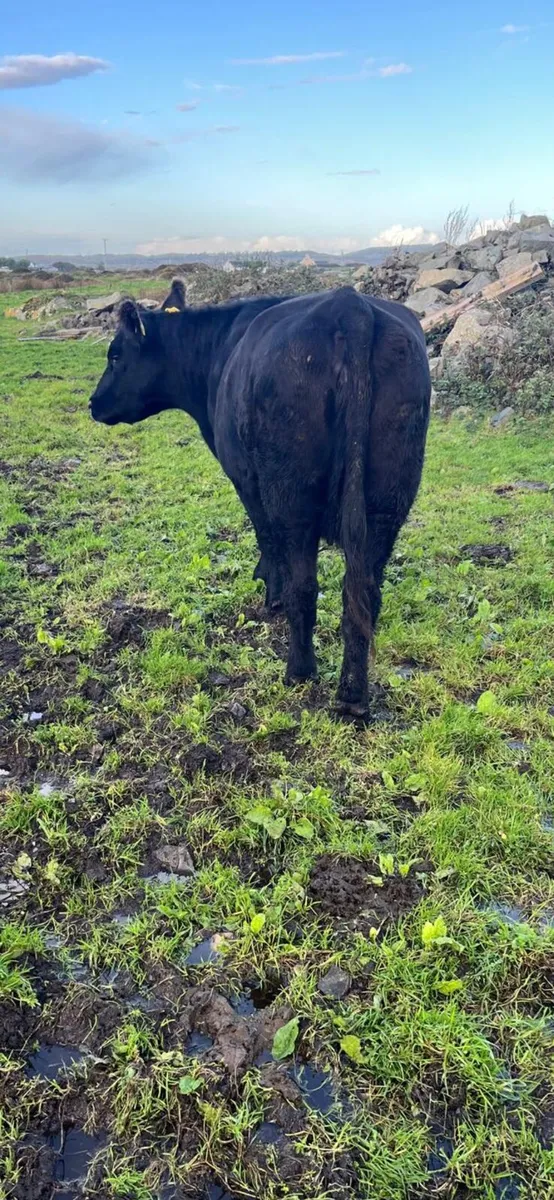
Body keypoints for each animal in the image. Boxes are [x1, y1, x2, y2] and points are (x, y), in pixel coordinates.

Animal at [90, 280, 430, 716]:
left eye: (116, 355)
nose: (93, 403)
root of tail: (349, 306)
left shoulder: (245, 477)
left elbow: (264, 536)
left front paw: (270, 589)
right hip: (388, 498)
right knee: (365, 592)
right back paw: (352, 698)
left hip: (291, 493)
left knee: (305, 584)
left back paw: (299, 670)